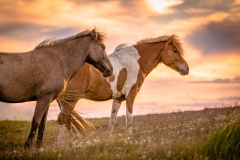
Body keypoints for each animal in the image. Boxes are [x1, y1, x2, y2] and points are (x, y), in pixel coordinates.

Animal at [56, 34, 189, 143]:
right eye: (175, 51)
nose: (186, 69)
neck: (137, 61)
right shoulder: (131, 94)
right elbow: (129, 117)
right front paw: (130, 138)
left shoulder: (118, 98)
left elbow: (112, 120)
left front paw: (107, 140)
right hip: (71, 98)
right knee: (63, 119)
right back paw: (61, 146)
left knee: (67, 121)